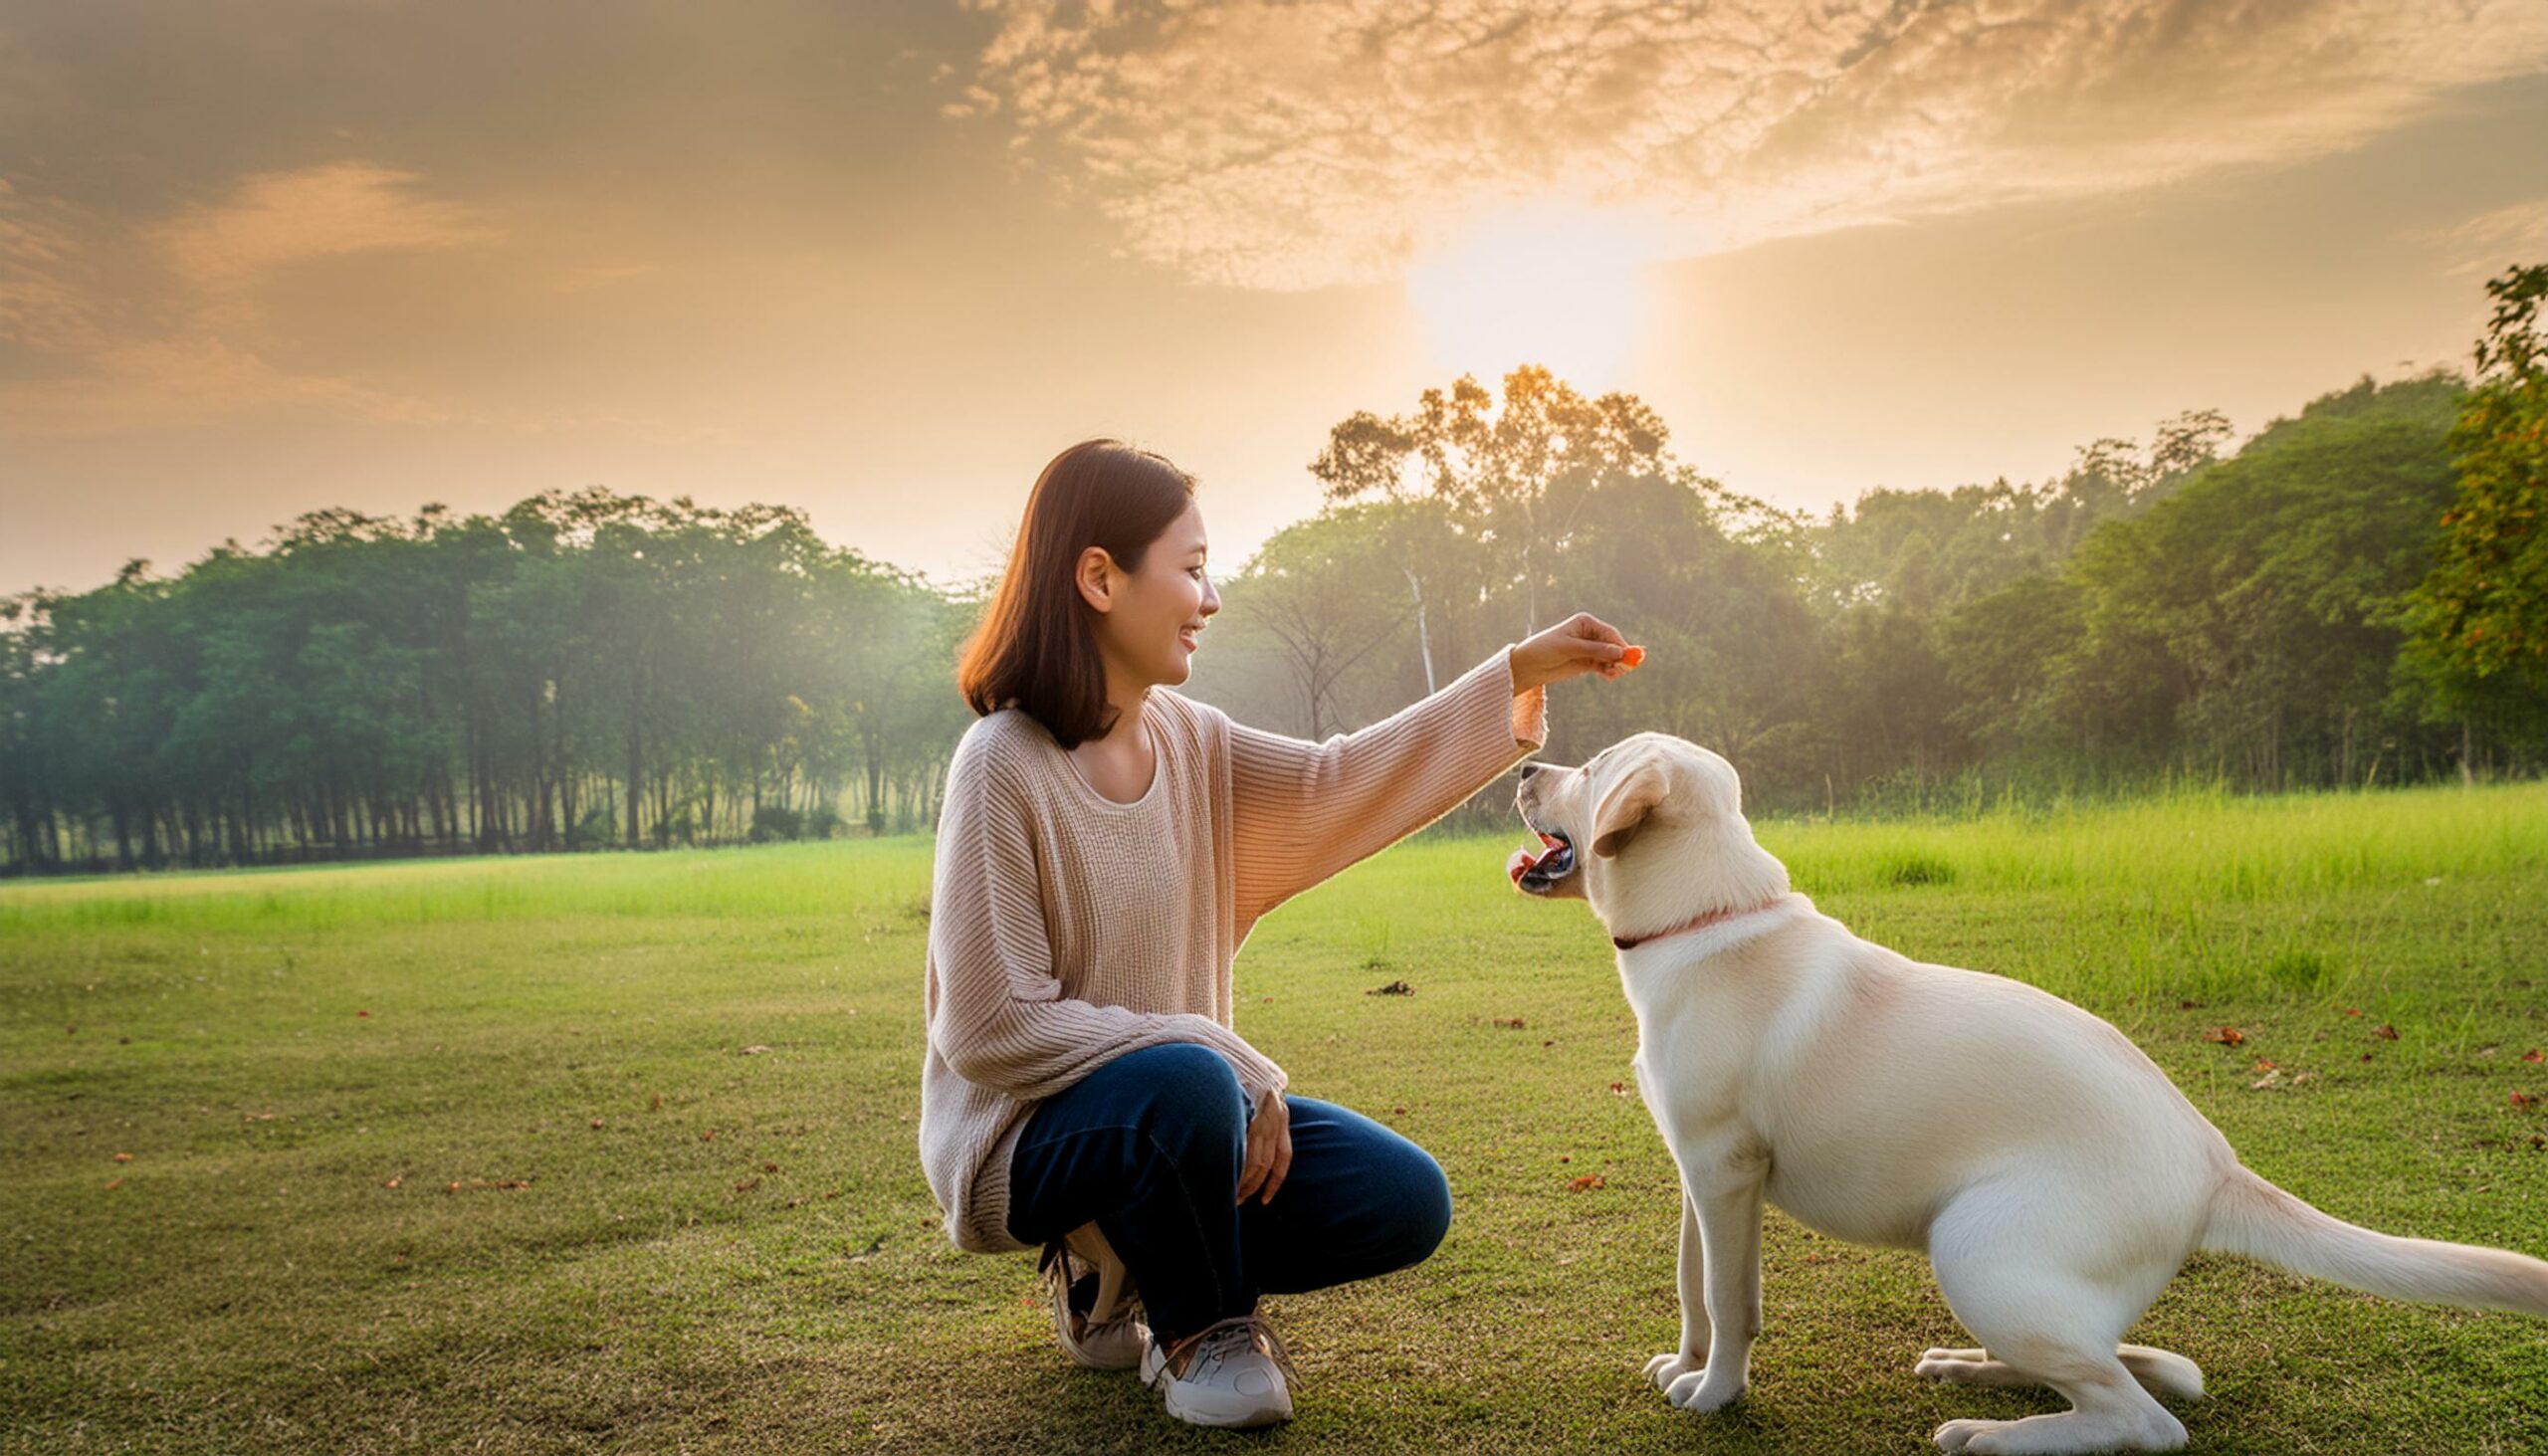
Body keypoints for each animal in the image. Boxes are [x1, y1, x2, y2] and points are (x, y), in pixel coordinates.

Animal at [1508, 733, 2548, 1448]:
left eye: (1591, 767)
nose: (1524, 766)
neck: (1707, 918)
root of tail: (2217, 1163)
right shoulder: (1696, 1168)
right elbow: (1694, 1289)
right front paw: (1683, 1367)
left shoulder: (1726, 1172)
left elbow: (1733, 1302)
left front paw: (1717, 1393)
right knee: (2152, 1368)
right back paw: (1971, 1371)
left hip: (1976, 1248)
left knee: (2143, 1418)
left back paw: (1990, 1434)